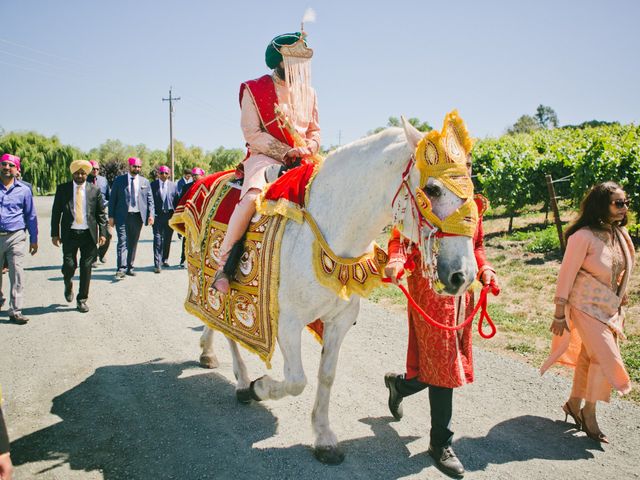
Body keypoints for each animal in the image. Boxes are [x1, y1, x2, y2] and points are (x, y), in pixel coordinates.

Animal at [199, 118, 476, 464]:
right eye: (433, 189)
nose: (463, 275)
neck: (332, 227)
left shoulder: (339, 320)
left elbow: (325, 376)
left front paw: (324, 438)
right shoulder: (287, 322)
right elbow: (296, 381)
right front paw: (258, 387)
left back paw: (209, 354)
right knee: (227, 330)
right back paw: (239, 381)